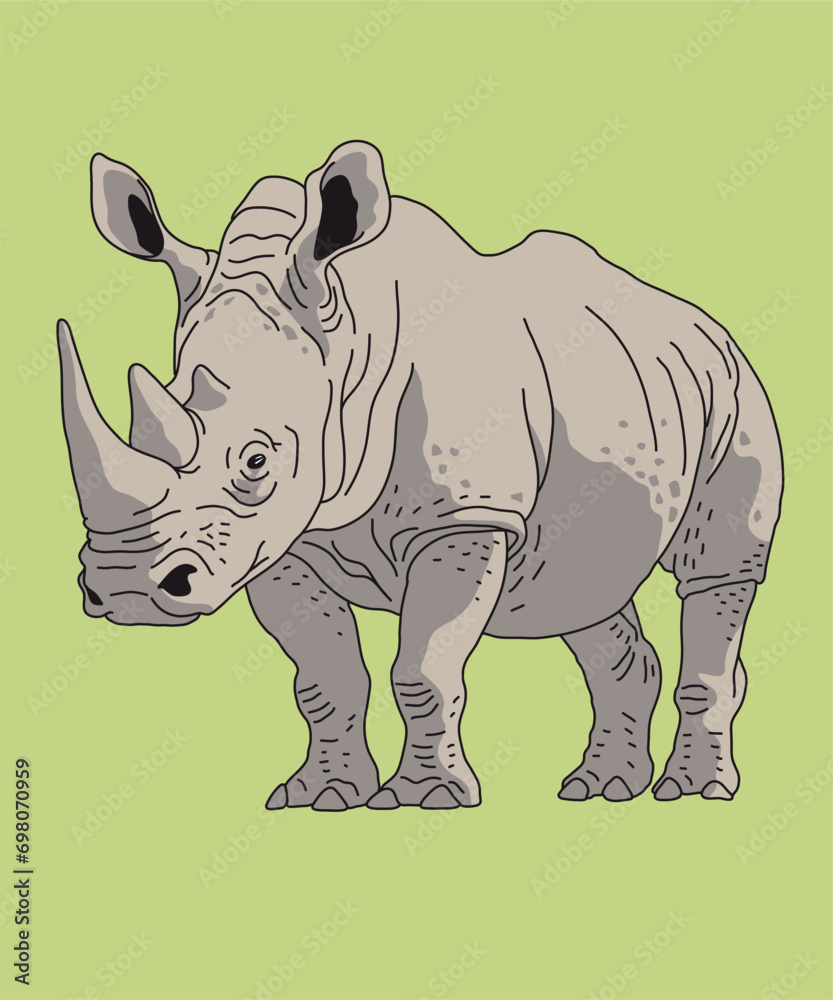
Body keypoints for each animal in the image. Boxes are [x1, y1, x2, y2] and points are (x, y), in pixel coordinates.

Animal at [59, 140, 782, 811]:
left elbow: (422, 668)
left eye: (257, 461)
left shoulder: (463, 517)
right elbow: (324, 678)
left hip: (734, 390)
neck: (347, 342)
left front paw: (424, 798)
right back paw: (599, 788)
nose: (126, 590)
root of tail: (707, 325)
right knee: (583, 591)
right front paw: (322, 795)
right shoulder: (279, 540)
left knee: (714, 572)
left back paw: (694, 790)